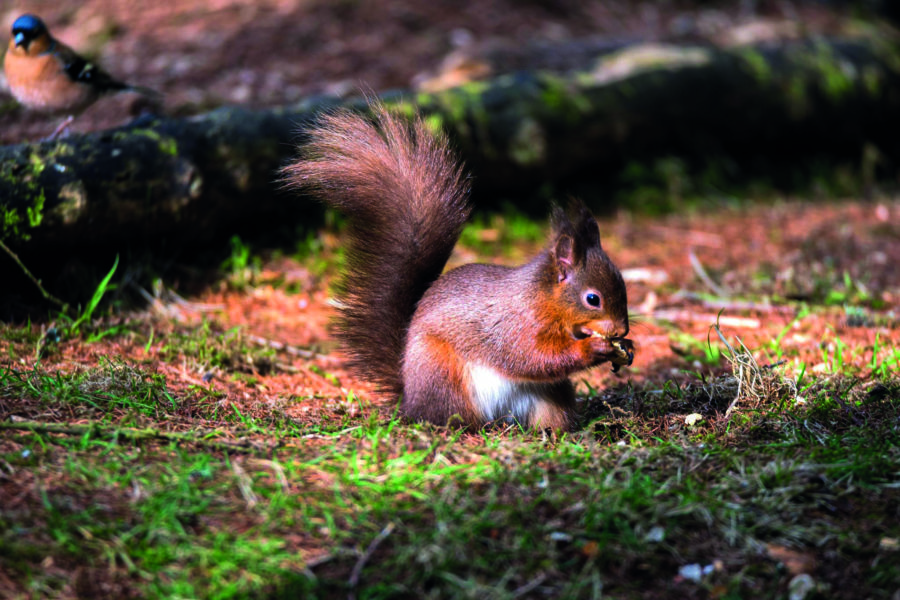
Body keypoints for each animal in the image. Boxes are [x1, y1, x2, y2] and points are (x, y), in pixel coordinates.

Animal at [286, 104, 632, 432]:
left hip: (550, 398)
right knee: (454, 419)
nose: (622, 330)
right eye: (593, 299)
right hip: (444, 375)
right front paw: (594, 347)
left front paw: (624, 348)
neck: (542, 297)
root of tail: (409, 397)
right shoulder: (515, 326)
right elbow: (533, 357)